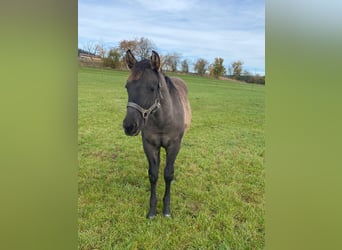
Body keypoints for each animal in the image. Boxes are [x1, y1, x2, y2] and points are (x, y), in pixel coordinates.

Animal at [123, 49, 192, 218]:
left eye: (152, 88)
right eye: (127, 86)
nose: (129, 126)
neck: (163, 120)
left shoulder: (174, 146)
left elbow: (168, 174)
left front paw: (166, 210)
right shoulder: (150, 145)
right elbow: (153, 174)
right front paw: (152, 211)